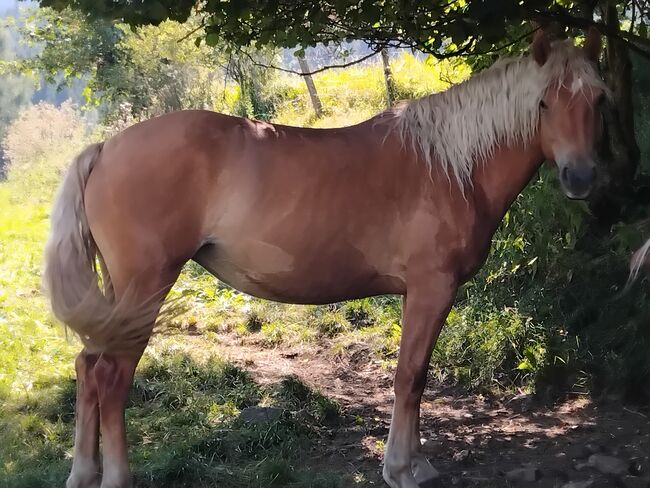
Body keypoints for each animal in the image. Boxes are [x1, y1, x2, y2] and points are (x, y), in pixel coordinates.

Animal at [44, 30, 604, 488]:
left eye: (598, 99)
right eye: (544, 103)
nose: (580, 178)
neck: (450, 166)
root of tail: (105, 148)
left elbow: (415, 375)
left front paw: (414, 461)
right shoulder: (431, 288)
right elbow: (409, 376)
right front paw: (402, 469)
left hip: (117, 297)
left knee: (87, 368)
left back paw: (82, 474)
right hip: (145, 286)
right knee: (112, 378)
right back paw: (116, 477)